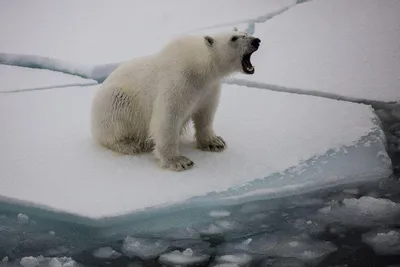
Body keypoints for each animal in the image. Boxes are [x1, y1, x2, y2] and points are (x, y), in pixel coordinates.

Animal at [90, 28, 260, 172]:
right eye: (234, 38)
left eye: (246, 33)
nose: (256, 41)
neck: (199, 67)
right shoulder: (178, 81)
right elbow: (167, 118)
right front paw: (179, 161)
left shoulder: (209, 88)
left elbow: (206, 113)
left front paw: (215, 142)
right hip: (115, 101)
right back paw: (130, 145)